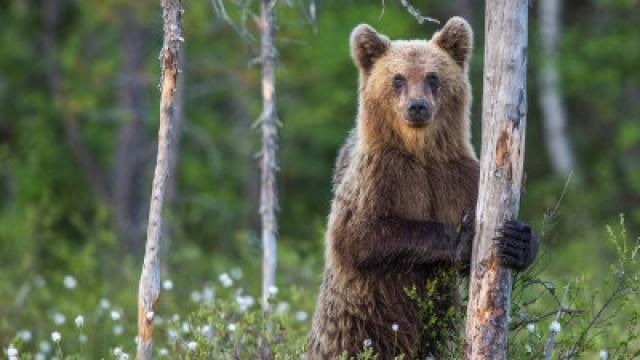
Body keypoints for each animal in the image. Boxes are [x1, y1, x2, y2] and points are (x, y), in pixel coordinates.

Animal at [308, 17, 536, 360]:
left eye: (432, 77)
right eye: (398, 78)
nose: (417, 107)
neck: (420, 150)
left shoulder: (456, 176)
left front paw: (517, 240)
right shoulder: (379, 177)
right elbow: (359, 235)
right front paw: (461, 237)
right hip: (355, 328)